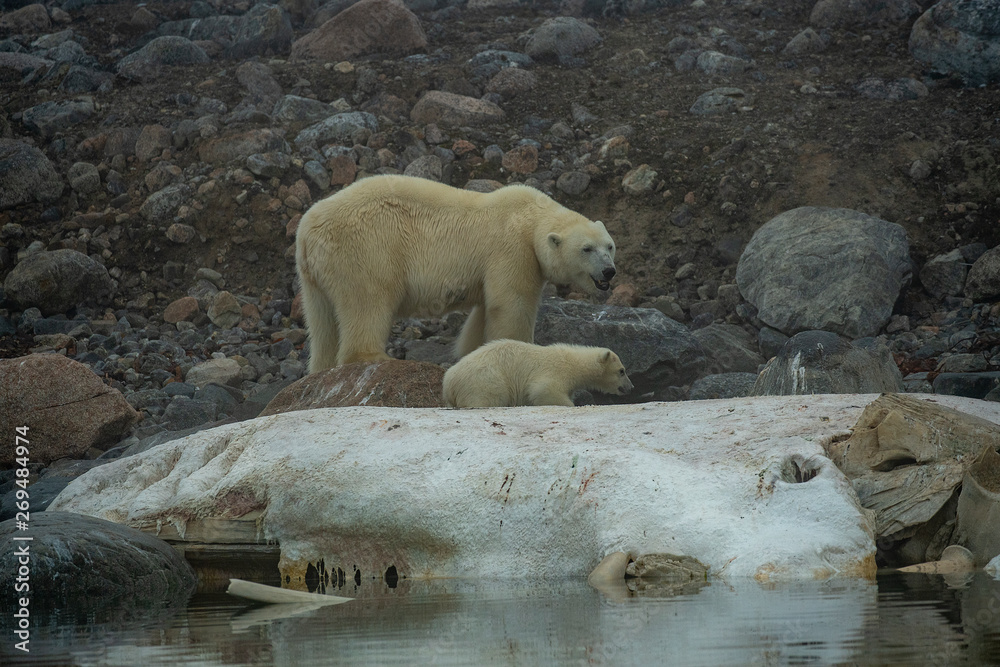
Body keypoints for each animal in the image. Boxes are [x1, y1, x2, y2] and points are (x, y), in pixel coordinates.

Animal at [295, 174, 618, 373]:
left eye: (610, 246)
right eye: (587, 248)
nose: (610, 271)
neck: (529, 218)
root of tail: (307, 232)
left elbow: (483, 314)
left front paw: (472, 353)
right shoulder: (512, 250)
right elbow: (512, 305)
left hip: (314, 276)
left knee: (321, 322)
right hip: (367, 248)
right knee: (369, 300)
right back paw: (373, 356)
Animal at [442, 339, 634, 408]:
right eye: (622, 371)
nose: (631, 387)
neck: (572, 362)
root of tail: (448, 383)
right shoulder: (554, 372)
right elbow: (543, 390)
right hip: (484, 381)